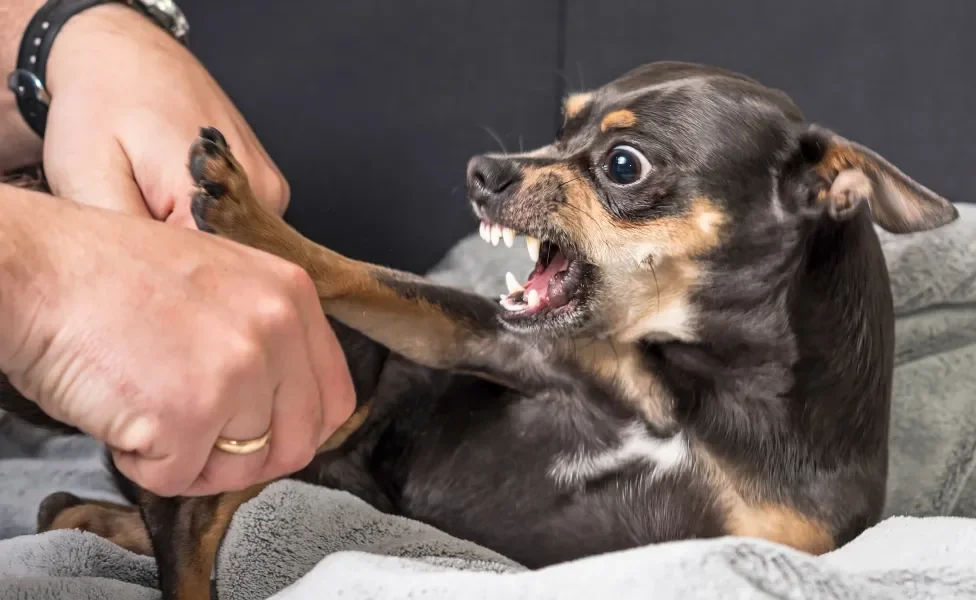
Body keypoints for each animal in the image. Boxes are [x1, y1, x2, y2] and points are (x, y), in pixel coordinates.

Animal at [0, 62, 960, 600]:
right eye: (561, 125)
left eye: (622, 164)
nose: (483, 170)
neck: (692, 390)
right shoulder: (489, 343)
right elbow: (358, 272)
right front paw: (247, 217)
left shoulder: (761, 544)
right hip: (349, 390)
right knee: (188, 528)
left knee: (153, 521)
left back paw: (88, 516)